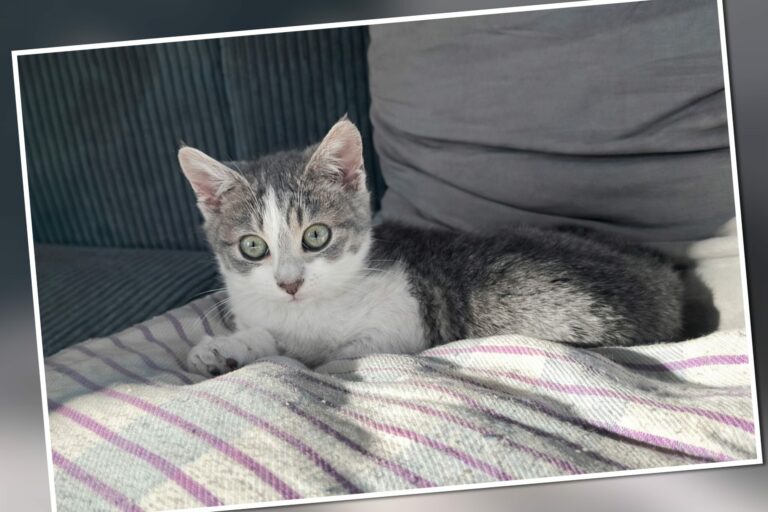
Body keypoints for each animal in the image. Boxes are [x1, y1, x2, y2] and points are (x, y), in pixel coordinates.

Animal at [178, 118, 684, 376]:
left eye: (316, 236)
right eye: (252, 246)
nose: (289, 283)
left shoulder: (404, 320)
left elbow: (330, 355)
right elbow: (270, 335)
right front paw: (229, 347)